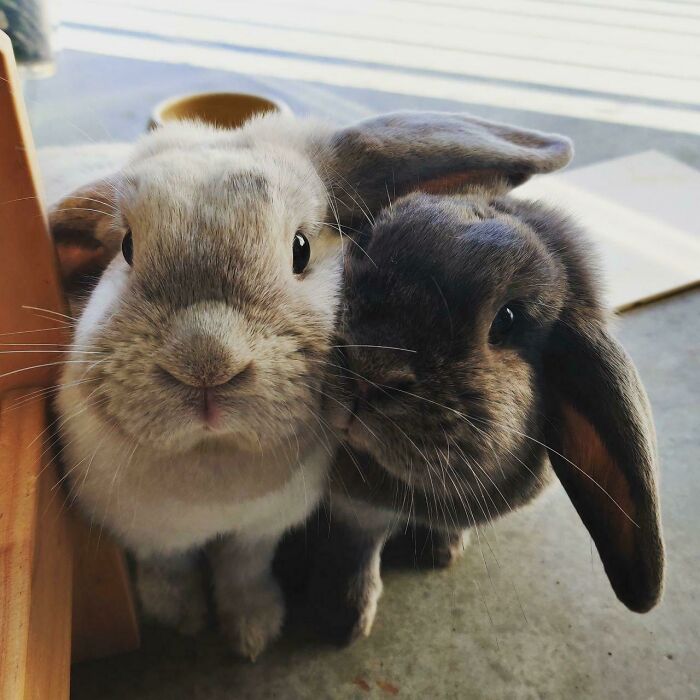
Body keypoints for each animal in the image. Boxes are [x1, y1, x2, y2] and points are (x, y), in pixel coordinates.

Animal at [48, 110, 574, 658]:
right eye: (126, 247)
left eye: (301, 249)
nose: (207, 361)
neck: (212, 467)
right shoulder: (148, 533)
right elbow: (168, 569)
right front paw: (182, 617)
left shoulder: (261, 530)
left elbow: (243, 570)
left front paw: (253, 630)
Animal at [308, 184, 665, 645]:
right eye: (363, 244)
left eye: (508, 319)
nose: (368, 373)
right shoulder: (355, 512)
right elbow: (360, 551)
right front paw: (350, 619)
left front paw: (444, 552)